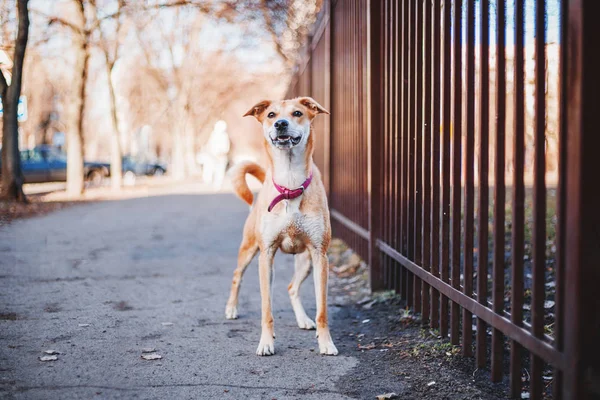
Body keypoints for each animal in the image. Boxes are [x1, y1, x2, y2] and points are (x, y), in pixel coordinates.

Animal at [225, 96, 338, 356]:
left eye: (297, 113)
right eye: (271, 115)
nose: (281, 124)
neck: (290, 184)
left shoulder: (320, 255)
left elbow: (323, 310)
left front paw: (326, 342)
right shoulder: (266, 254)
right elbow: (266, 309)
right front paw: (266, 343)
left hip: (306, 261)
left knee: (292, 287)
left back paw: (304, 320)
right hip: (249, 248)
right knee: (237, 274)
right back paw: (231, 308)